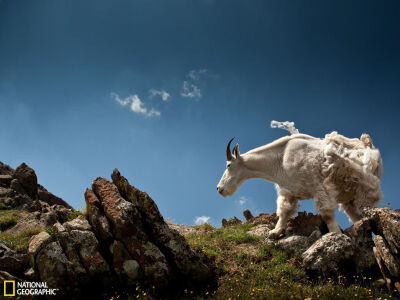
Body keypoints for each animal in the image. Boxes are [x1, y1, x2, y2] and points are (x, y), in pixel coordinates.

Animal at [217, 120, 382, 238]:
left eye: (228, 165)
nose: (219, 188)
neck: (280, 159)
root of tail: (369, 145)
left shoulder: (318, 186)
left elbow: (327, 213)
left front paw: (336, 234)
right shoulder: (289, 192)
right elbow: (284, 212)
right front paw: (275, 232)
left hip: (364, 190)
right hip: (349, 197)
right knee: (355, 216)